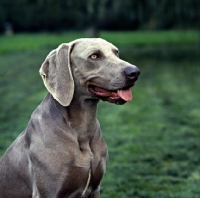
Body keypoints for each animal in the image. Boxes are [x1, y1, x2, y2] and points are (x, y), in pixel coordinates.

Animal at [0, 38, 140, 197]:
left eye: (116, 53)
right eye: (94, 56)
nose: (135, 72)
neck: (82, 128)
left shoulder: (95, 188)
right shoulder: (47, 192)